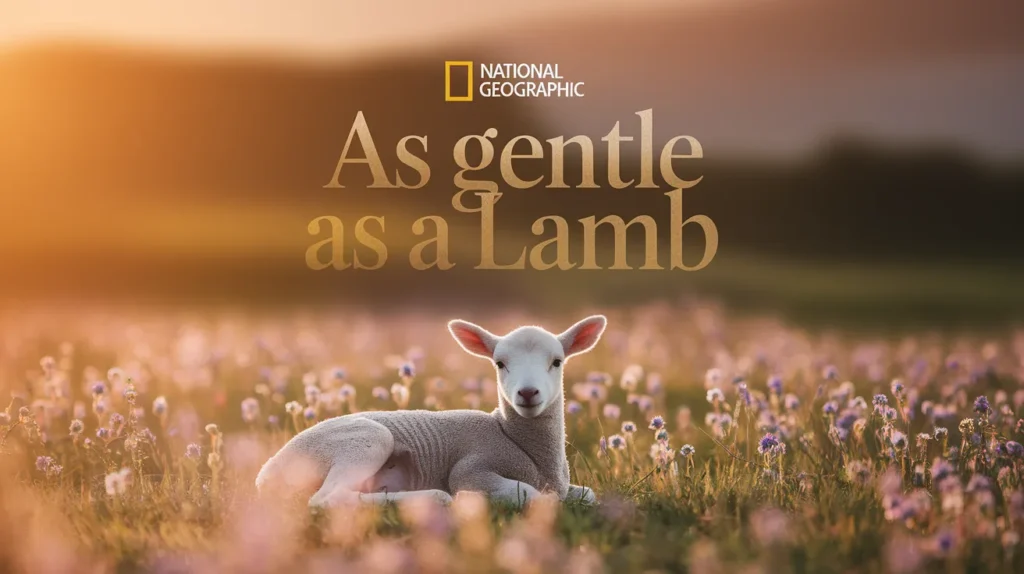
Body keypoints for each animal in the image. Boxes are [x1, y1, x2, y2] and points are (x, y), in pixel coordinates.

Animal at [254, 315, 606, 508]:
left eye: (557, 362)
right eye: (499, 364)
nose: (528, 392)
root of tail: (266, 475)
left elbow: (588, 495)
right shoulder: (471, 468)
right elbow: (533, 496)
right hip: (364, 439)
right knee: (328, 499)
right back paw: (433, 499)